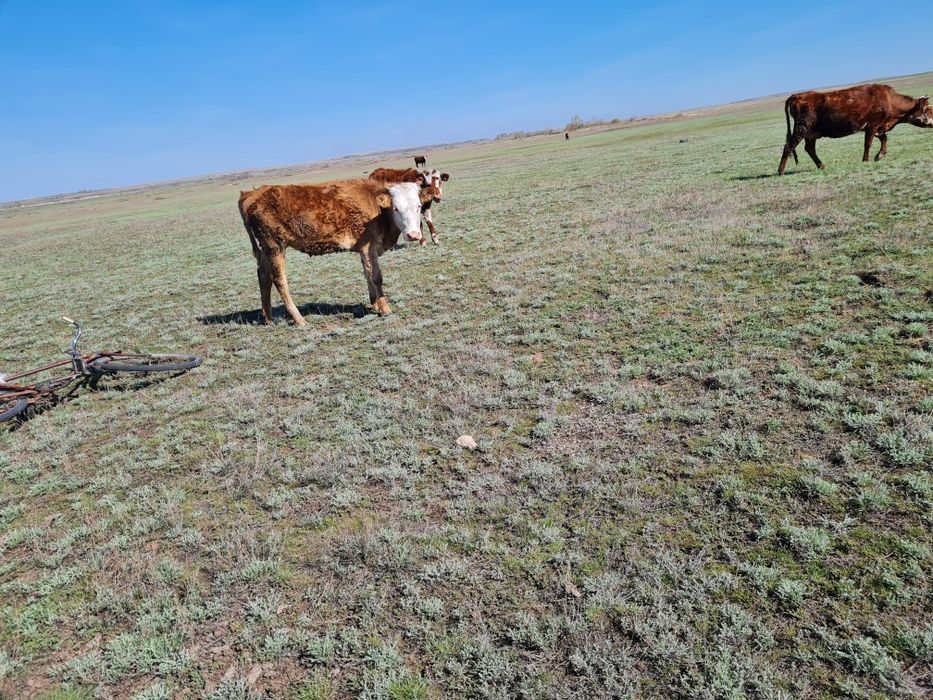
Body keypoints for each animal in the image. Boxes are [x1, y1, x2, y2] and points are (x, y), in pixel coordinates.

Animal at [239, 179, 436, 325]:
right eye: (396, 208)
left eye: (419, 206)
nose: (413, 234)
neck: (378, 209)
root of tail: (250, 194)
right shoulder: (368, 246)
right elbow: (376, 276)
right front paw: (385, 309)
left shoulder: (364, 249)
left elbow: (367, 274)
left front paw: (374, 304)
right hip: (275, 247)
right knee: (279, 280)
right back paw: (299, 319)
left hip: (265, 249)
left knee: (263, 277)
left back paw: (268, 318)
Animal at [779, 84, 933, 175]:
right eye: (928, 110)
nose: (932, 123)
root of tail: (798, 95)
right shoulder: (872, 125)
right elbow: (868, 143)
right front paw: (866, 160)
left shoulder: (877, 127)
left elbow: (883, 138)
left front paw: (880, 155)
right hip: (801, 128)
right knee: (789, 146)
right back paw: (780, 171)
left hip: (811, 133)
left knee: (810, 149)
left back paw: (821, 166)